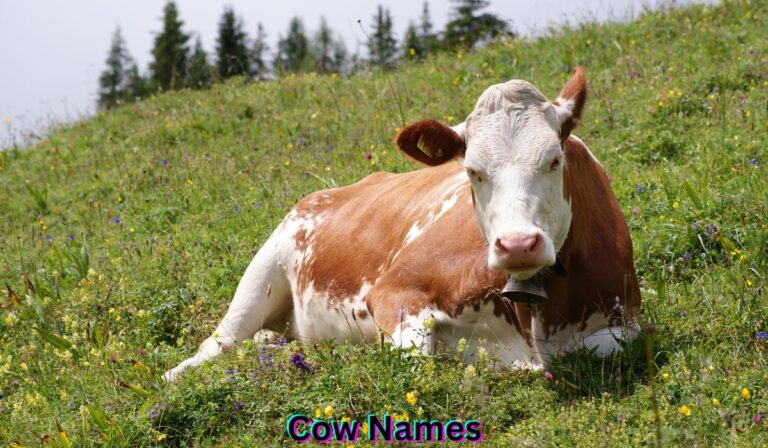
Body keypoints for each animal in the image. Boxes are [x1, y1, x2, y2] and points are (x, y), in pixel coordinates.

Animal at [164, 67, 641, 383]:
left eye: (554, 160)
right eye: (472, 171)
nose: (518, 244)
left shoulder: (627, 320)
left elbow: (605, 347)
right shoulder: (395, 292)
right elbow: (417, 358)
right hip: (263, 270)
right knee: (218, 343)